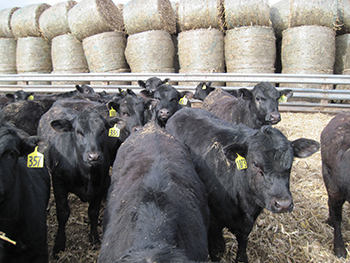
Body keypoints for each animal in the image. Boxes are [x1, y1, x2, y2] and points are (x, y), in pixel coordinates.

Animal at [36, 99, 123, 258]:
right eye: (78, 132)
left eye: (102, 131)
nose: (94, 156)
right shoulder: (58, 182)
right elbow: (63, 212)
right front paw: (59, 244)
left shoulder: (102, 184)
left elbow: (93, 212)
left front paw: (94, 238)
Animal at [167, 108, 320, 263]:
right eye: (256, 164)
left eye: (290, 163)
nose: (283, 204)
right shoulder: (214, 222)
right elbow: (218, 249)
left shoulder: (248, 222)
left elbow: (243, 241)